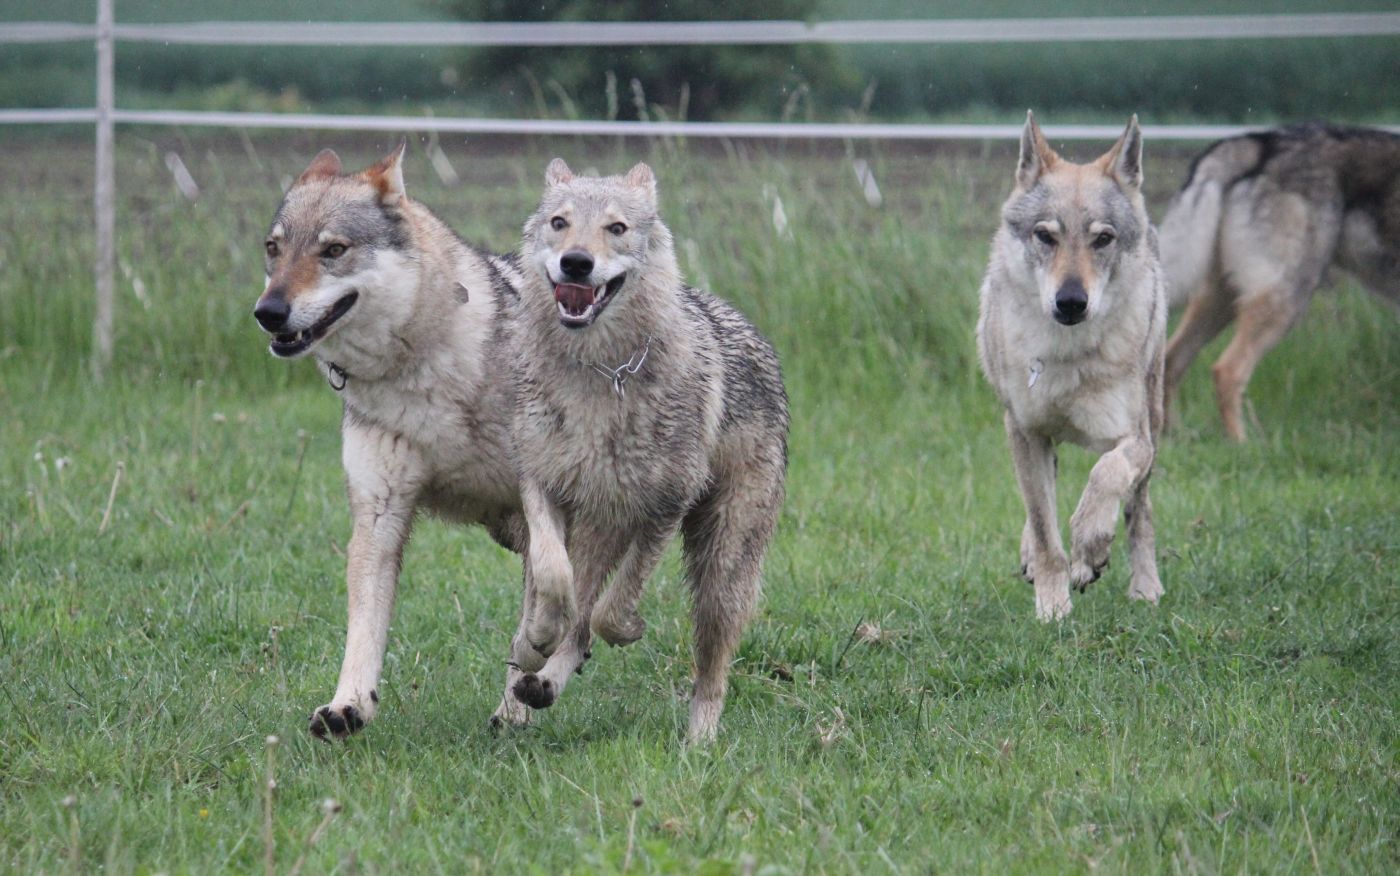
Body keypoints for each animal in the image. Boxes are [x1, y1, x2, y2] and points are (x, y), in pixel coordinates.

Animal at [249, 144, 526, 738]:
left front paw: (516, 711)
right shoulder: (379, 513)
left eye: (333, 250)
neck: (421, 369)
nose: (268, 313)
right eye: (274, 249)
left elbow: (537, 625)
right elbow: (365, 627)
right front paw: (348, 705)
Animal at [504, 155, 789, 738]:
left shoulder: (666, 506)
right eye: (560, 223)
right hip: (602, 525)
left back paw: (699, 741)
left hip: (720, 572)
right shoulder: (540, 484)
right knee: (575, 617)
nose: (576, 263)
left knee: (711, 672)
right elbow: (555, 577)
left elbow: (609, 613)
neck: (600, 375)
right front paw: (536, 637)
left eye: (616, 228)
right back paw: (535, 679)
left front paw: (629, 628)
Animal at [980, 112, 1164, 621]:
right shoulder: (1023, 431)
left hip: (1156, 423)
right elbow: (1045, 531)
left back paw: (1145, 589)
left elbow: (1105, 477)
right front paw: (1053, 607)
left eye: (1103, 239)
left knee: (1139, 516)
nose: (1070, 302)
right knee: (1041, 501)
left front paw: (1089, 547)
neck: (1067, 356)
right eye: (1046, 236)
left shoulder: (1136, 439)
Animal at [1159, 120, 1400, 439]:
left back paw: (1174, 436)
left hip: (1224, 299)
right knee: (1227, 370)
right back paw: (1243, 443)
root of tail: (1261, 142)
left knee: (1172, 360)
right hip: (1284, 299)